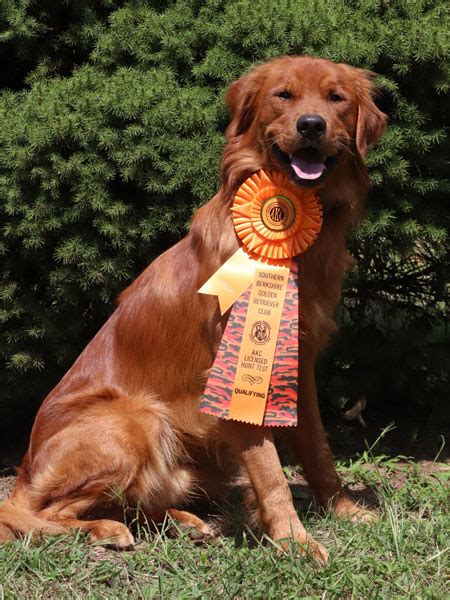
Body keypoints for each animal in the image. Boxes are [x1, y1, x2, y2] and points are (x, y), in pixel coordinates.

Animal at [0, 57, 386, 564]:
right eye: (283, 95)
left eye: (336, 98)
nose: (311, 125)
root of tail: (25, 468)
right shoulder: (234, 372)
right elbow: (270, 470)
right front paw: (294, 542)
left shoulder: (296, 364)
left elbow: (318, 447)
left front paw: (343, 510)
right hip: (136, 419)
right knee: (40, 514)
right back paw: (105, 529)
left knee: (133, 502)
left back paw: (182, 522)